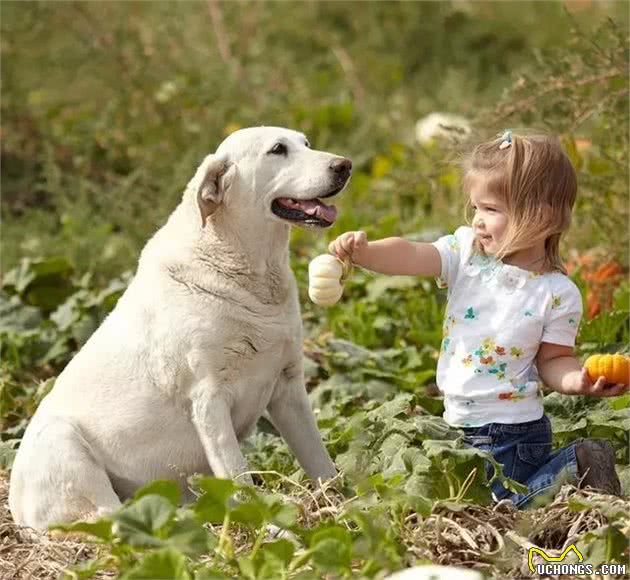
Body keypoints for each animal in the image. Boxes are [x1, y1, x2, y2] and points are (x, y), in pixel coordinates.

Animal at [8, 125, 350, 532]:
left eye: (307, 144)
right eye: (278, 150)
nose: (344, 165)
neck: (249, 271)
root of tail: (14, 510)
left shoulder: (289, 389)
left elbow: (320, 461)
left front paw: (348, 508)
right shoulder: (209, 401)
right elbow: (239, 479)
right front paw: (272, 529)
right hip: (64, 445)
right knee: (112, 520)